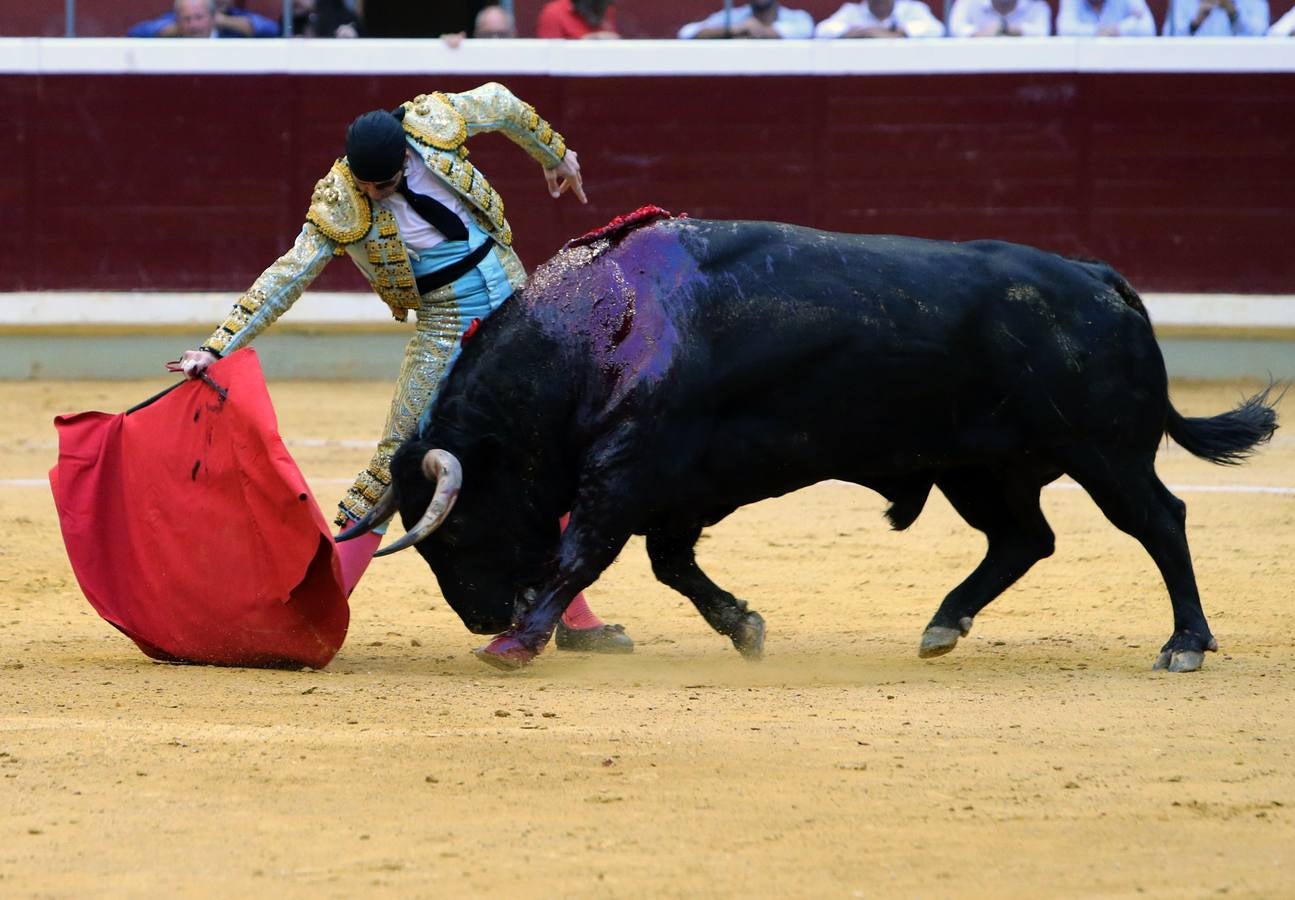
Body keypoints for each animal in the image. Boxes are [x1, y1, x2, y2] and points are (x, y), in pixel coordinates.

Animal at [341, 216, 1274, 668]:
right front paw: (744, 628)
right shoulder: (679, 489)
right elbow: (668, 564)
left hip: (1106, 453)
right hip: (984, 469)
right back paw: (943, 625)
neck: (602, 330)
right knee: (1022, 538)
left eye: (455, 528)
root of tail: (1100, 279)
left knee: (1158, 522)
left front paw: (517, 643)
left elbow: (586, 553)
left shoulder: (629, 473)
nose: (481, 615)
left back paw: (1184, 644)